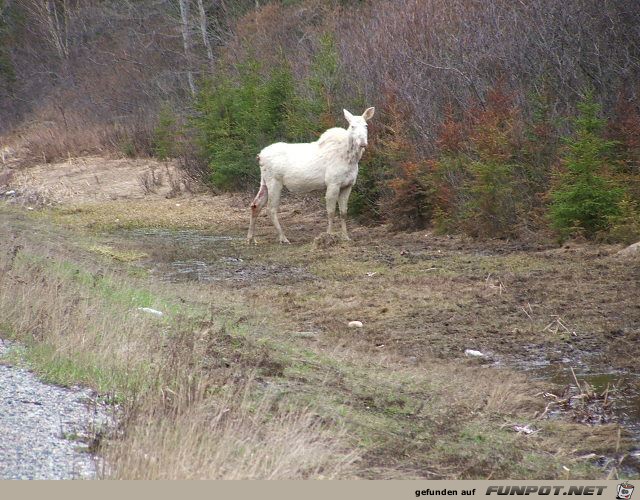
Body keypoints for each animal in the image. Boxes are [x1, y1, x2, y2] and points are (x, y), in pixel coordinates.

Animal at [246, 107, 376, 244]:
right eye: (352, 126)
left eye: (366, 125)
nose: (363, 143)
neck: (351, 159)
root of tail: (259, 156)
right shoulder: (333, 183)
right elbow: (331, 212)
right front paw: (329, 235)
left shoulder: (348, 185)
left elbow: (343, 212)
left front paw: (346, 237)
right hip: (274, 181)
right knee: (271, 208)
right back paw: (283, 238)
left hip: (264, 182)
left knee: (255, 205)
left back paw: (251, 238)